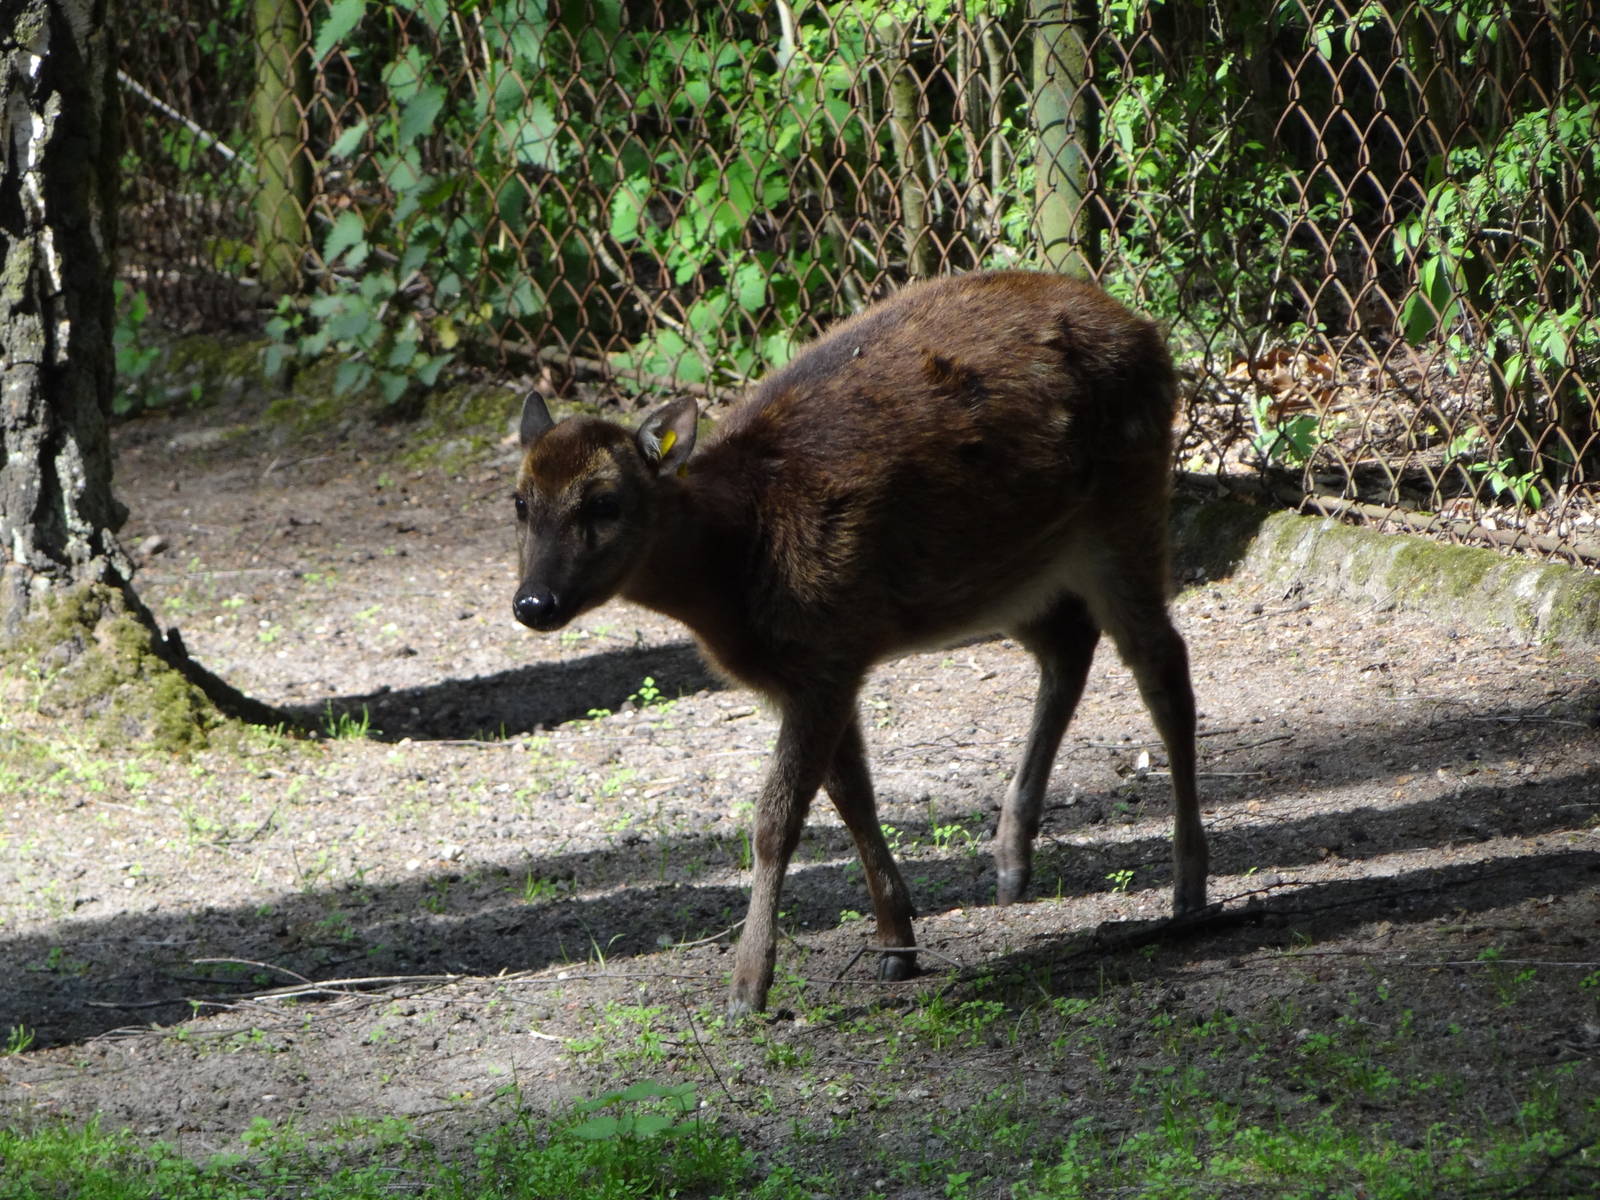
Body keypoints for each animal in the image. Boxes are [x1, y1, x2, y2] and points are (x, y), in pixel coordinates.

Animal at [510, 269, 1207, 1016]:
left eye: (604, 502)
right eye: (520, 502)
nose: (533, 603)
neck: (739, 554)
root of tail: (1146, 331)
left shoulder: (827, 652)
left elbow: (777, 820)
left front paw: (748, 986)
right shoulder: (822, 664)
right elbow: (852, 796)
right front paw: (897, 945)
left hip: (1125, 500)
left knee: (1163, 666)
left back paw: (1188, 891)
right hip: (1004, 571)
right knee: (1069, 644)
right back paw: (1011, 863)